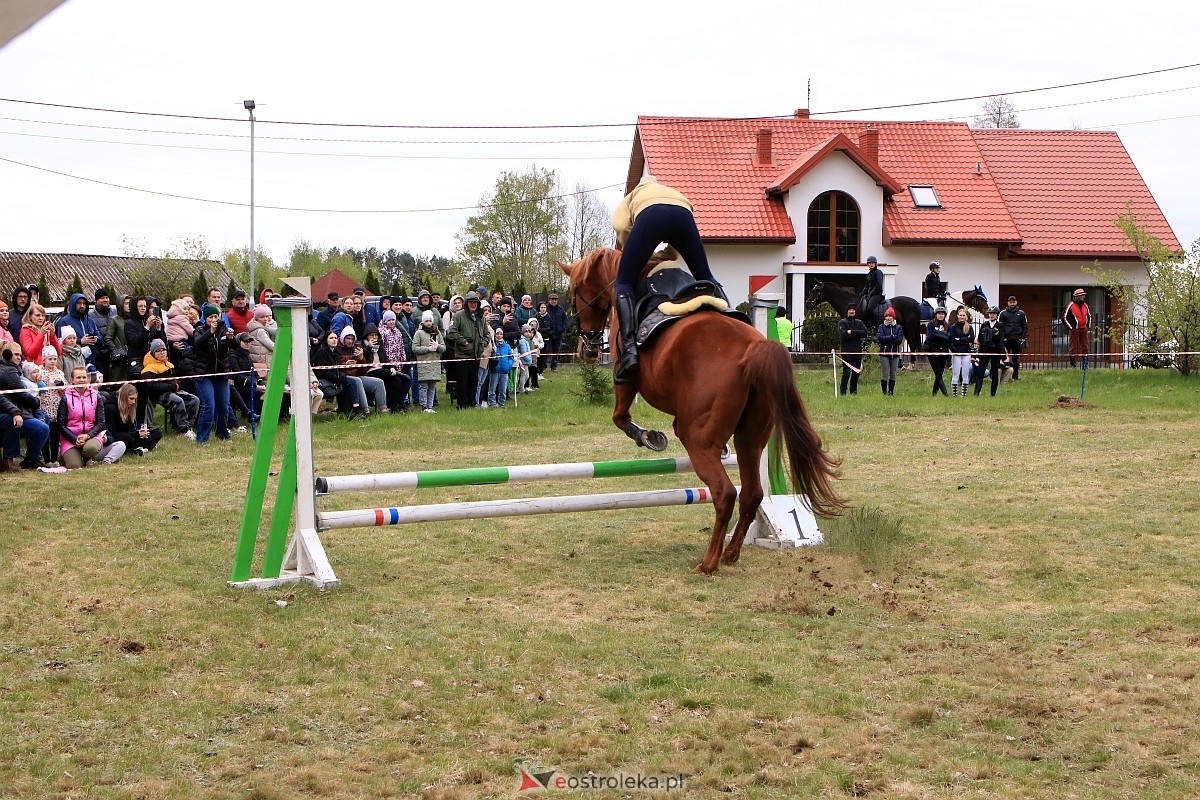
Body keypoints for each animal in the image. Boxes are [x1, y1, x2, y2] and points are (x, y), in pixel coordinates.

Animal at [559, 247, 844, 573]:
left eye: (574, 292)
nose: (587, 347)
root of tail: (752, 350)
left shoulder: (625, 376)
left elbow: (620, 416)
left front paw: (649, 437)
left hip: (696, 439)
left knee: (725, 493)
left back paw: (709, 562)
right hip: (751, 437)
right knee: (752, 493)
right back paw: (730, 552)